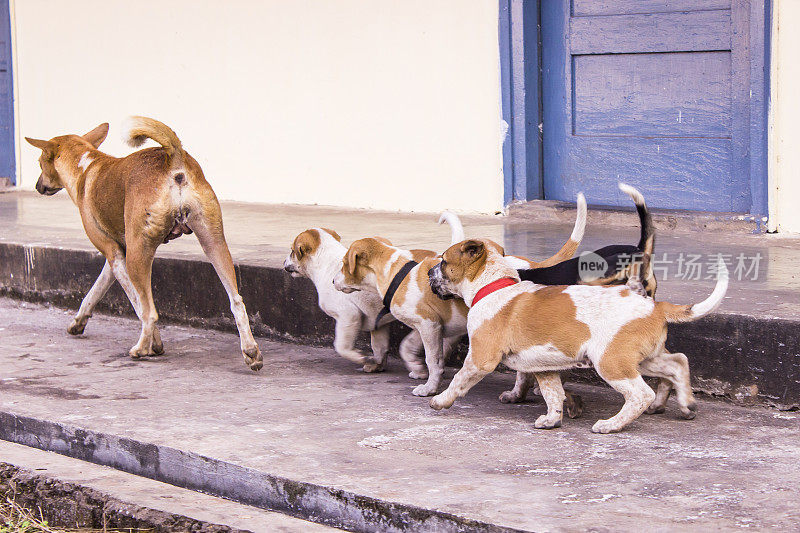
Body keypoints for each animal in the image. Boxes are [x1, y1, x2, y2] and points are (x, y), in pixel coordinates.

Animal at [24, 117, 262, 370]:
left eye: (39, 163)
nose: (37, 186)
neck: (85, 167)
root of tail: (173, 157)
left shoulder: (117, 255)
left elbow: (139, 305)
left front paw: (153, 343)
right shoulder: (115, 257)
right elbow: (95, 291)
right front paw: (78, 322)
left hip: (139, 253)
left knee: (151, 312)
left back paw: (139, 349)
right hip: (214, 243)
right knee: (236, 301)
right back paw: (251, 350)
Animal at [428, 237, 728, 432]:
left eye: (443, 262)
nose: (429, 272)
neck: (493, 285)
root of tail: (654, 306)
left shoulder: (481, 358)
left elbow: (458, 380)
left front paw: (441, 401)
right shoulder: (543, 367)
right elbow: (553, 393)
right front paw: (553, 419)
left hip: (611, 362)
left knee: (641, 394)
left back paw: (611, 425)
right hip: (643, 358)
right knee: (678, 363)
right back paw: (687, 404)